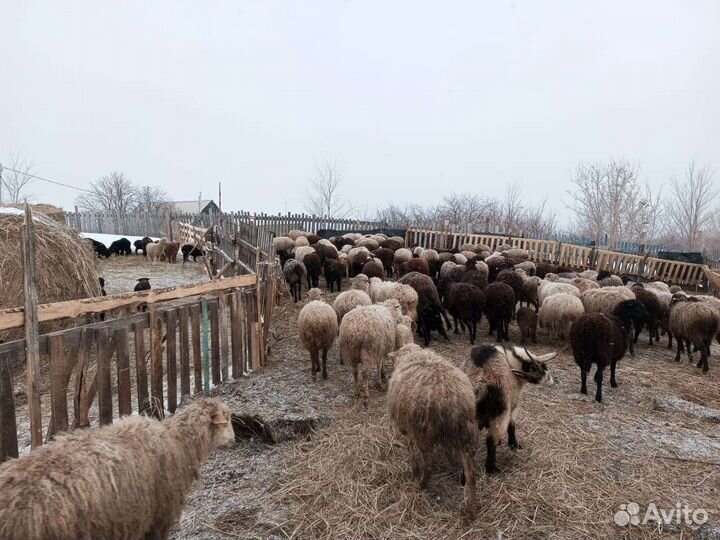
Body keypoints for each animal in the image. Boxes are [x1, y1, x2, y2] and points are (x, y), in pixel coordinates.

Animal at [387, 344, 477, 517]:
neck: (413, 355)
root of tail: (453, 400)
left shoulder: (408, 428)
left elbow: (411, 450)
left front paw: (414, 470)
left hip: (424, 432)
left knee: (428, 466)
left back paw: (421, 485)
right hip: (464, 433)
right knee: (471, 473)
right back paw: (470, 510)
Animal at [462, 345, 555, 473]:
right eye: (541, 368)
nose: (552, 381)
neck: (510, 360)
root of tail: (480, 383)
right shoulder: (513, 403)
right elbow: (512, 425)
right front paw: (514, 445)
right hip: (501, 413)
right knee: (491, 440)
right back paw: (492, 469)